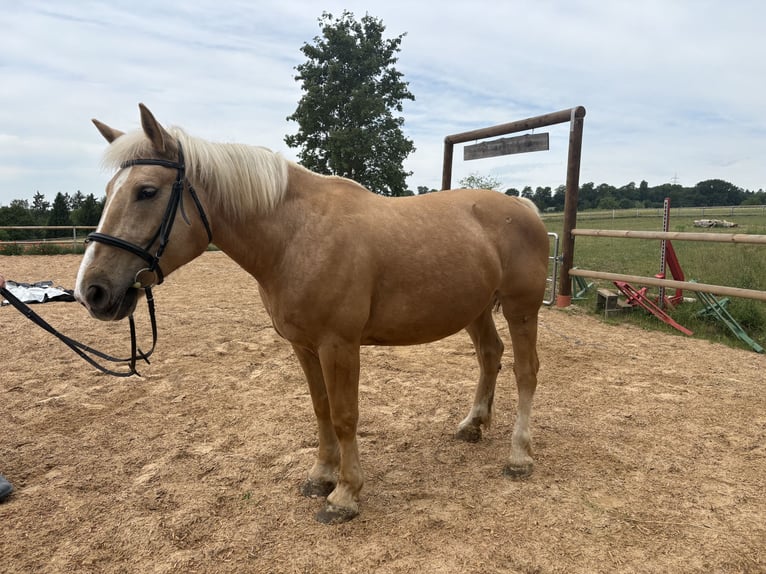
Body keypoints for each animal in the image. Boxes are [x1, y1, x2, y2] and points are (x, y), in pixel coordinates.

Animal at [75, 104, 550, 524]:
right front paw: (322, 477)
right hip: (476, 309)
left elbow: (344, 415)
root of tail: (524, 208)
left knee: (526, 371)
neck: (296, 236)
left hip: (521, 309)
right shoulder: (304, 346)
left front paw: (345, 495)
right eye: (108, 193)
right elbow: (321, 410)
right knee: (490, 356)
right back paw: (473, 425)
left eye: (147, 191)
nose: (91, 291)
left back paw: (519, 456)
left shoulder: (339, 346)